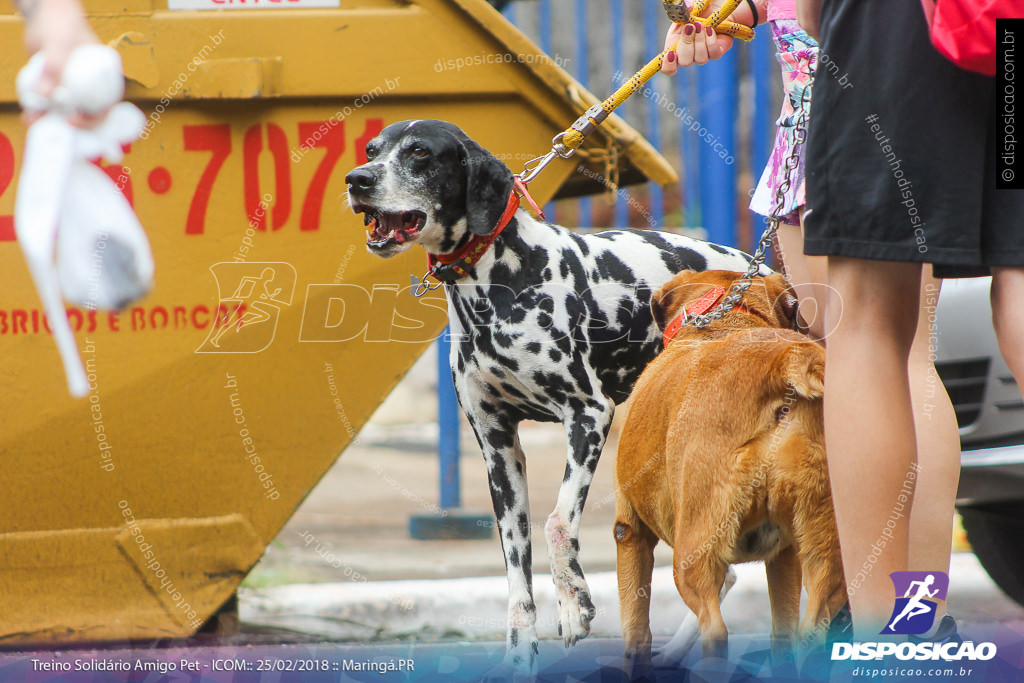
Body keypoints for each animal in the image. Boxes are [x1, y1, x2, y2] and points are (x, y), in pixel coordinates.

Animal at [348, 118, 765, 671]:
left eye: (419, 153)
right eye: (372, 149)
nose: (357, 180)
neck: (500, 281)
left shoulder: (587, 416)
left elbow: (557, 523)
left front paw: (573, 603)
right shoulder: (499, 451)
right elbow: (515, 570)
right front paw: (520, 651)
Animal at [614, 270, 847, 671]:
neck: (728, 318)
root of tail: (783, 362)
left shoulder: (629, 531)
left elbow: (636, 634)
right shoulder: (784, 556)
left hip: (693, 553)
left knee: (713, 627)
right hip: (826, 545)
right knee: (808, 629)